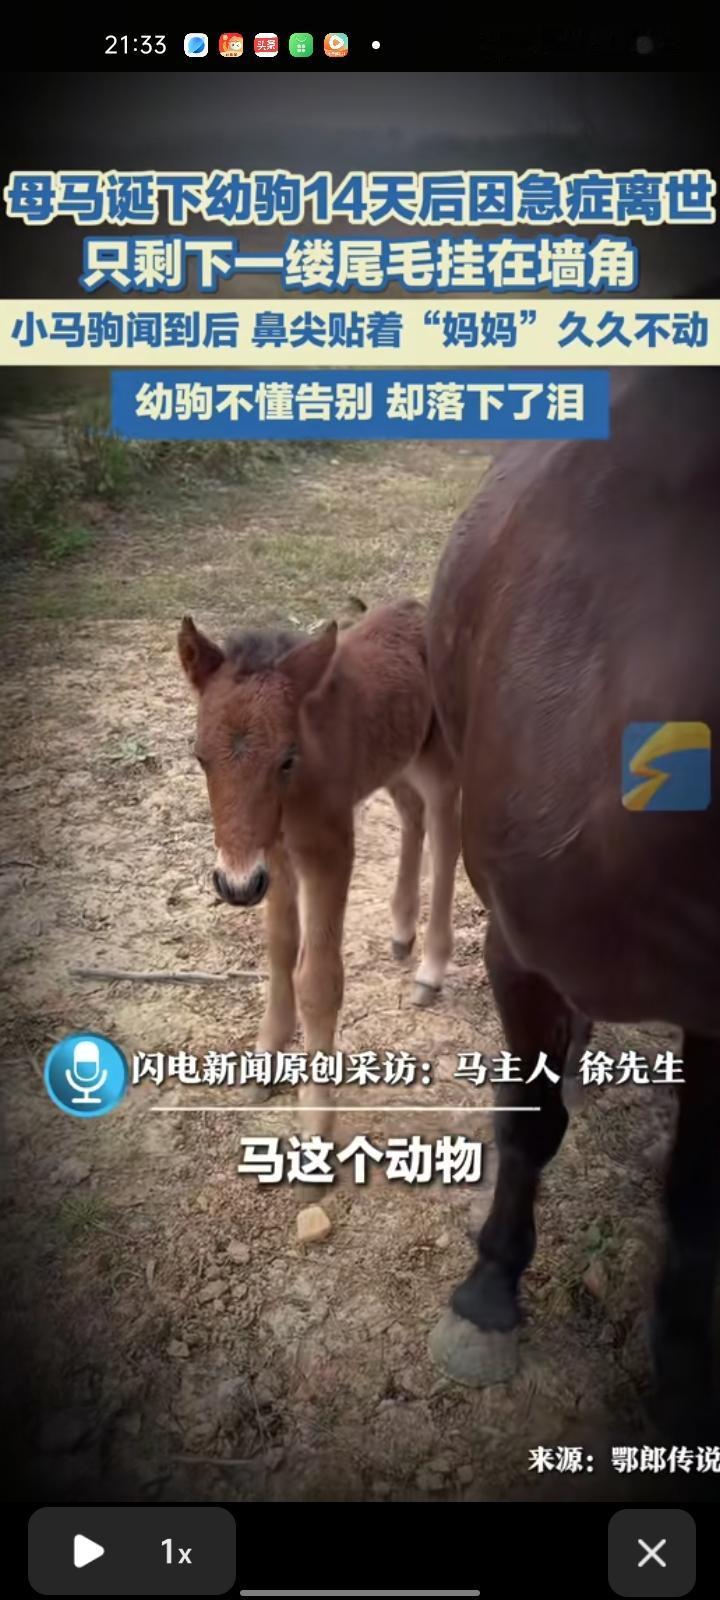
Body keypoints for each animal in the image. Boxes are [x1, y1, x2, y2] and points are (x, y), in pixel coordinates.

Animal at [178, 598, 460, 1136]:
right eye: (200, 757)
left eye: (286, 759)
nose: (235, 886)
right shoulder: (275, 856)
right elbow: (280, 951)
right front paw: (265, 1062)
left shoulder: (328, 851)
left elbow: (318, 978)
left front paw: (315, 1120)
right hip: (394, 762)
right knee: (411, 814)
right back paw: (401, 931)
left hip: (437, 760)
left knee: (444, 835)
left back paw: (431, 969)